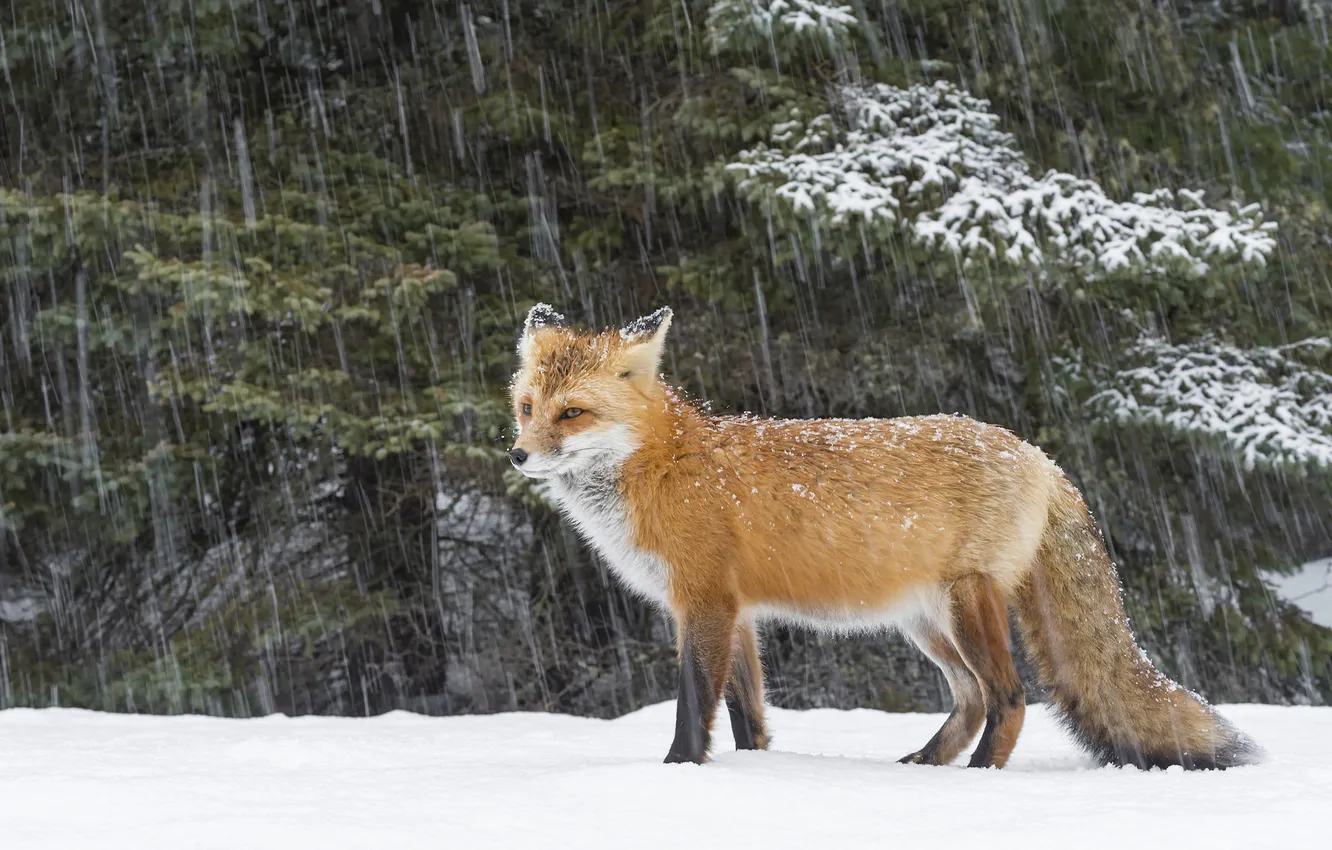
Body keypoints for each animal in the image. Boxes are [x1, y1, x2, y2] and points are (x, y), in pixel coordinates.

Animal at [507, 303, 1261, 770]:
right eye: (526, 408)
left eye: (572, 414)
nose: (516, 456)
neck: (664, 464)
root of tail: (1039, 455)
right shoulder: (739, 613)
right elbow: (750, 718)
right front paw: (754, 772)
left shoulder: (706, 604)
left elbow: (695, 707)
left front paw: (676, 772)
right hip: (925, 623)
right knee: (972, 700)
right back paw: (922, 767)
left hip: (966, 602)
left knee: (1011, 699)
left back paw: (977, 777)